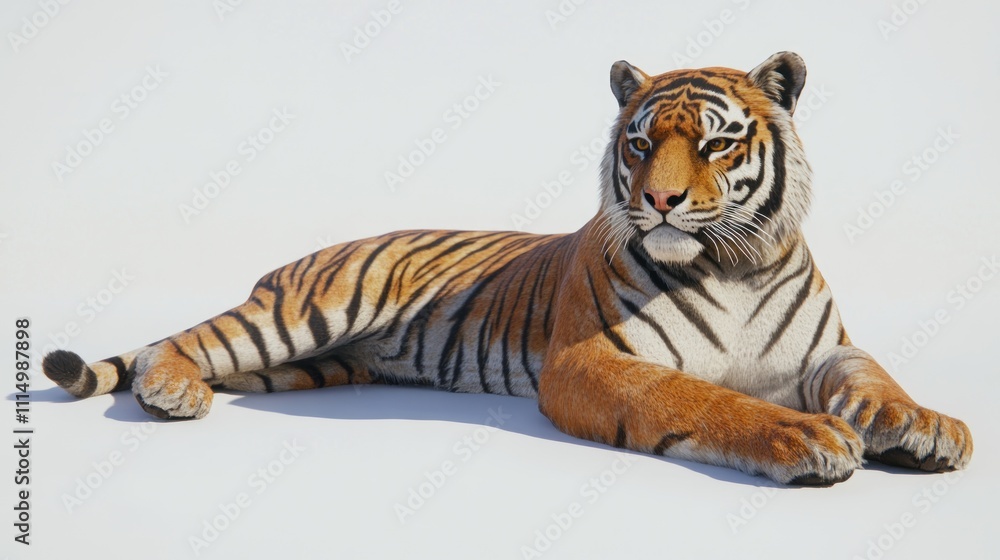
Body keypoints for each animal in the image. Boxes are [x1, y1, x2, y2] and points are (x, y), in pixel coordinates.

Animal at [43, 52, 972, 486]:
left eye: (713, 144)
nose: (660, 201)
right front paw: (801, 435)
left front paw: (926, 427)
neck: (734, 264)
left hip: (310, 364)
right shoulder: (591, 360)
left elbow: (875, 378)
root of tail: (311, 252)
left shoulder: (826, 351)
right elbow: (702, 399)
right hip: (300, 314)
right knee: (180, 339)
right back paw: (172, 389)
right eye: (640, 143)